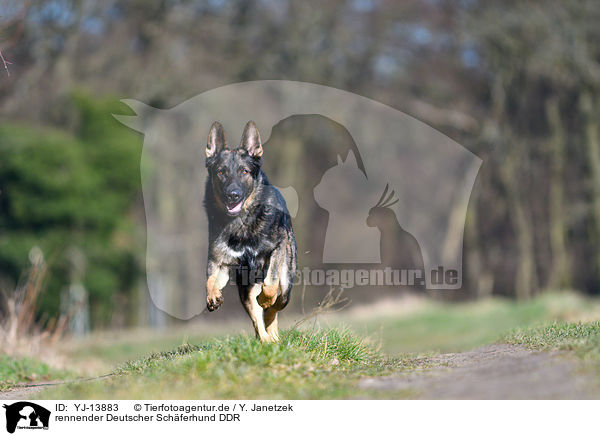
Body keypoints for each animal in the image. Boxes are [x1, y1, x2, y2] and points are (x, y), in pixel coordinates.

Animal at [204, 121, 298, 342]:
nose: (233, 194)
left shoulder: (277, 250)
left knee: (275, 304)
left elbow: (270, 283)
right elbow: (210, 280)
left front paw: (265, 298)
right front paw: (212, 296)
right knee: (257, 319)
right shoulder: (219, 261)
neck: (242, 223)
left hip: (286, 283)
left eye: (244, 172)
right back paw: (265, 339)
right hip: (245, 290)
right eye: (221, 172)